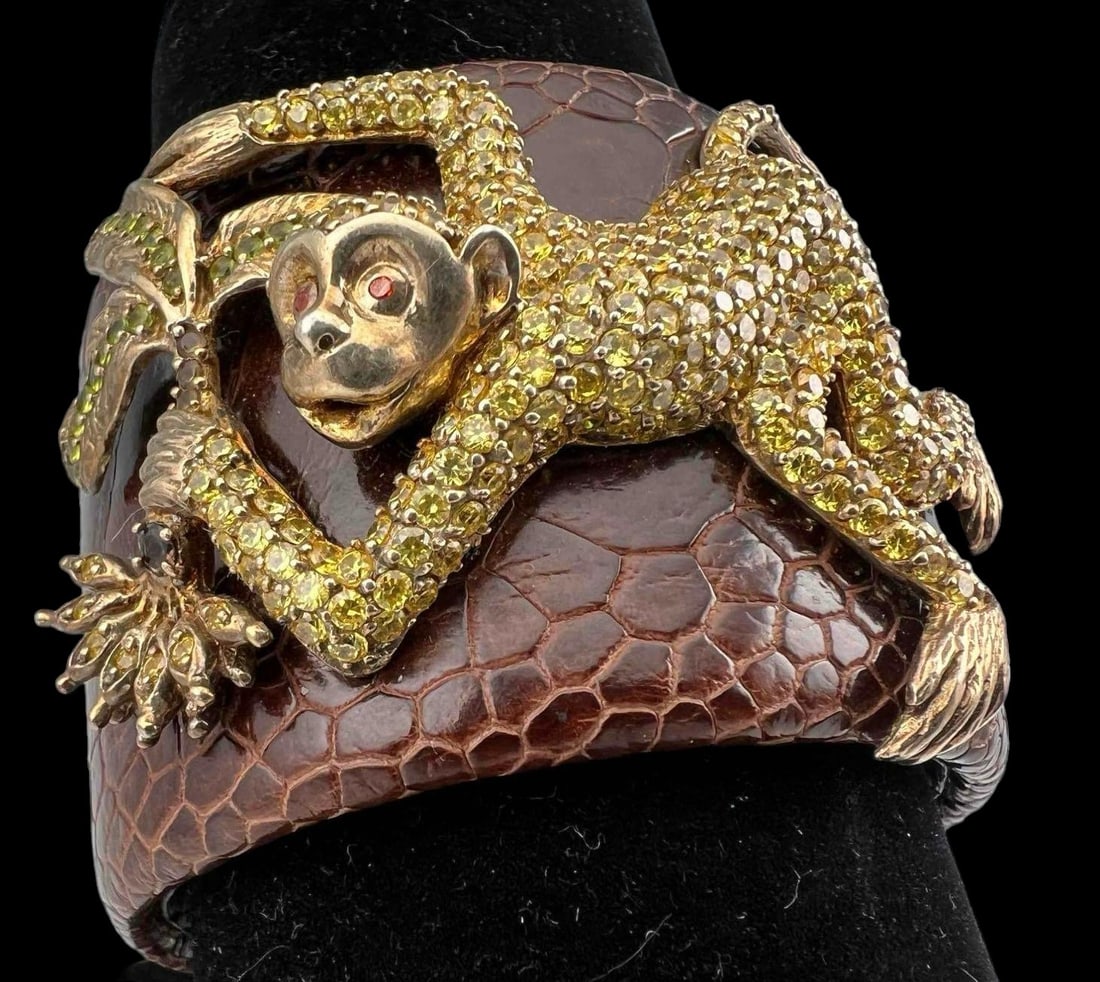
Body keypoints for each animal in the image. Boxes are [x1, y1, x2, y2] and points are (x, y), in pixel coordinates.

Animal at [138, 69, 1006, 764]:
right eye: (299, 295)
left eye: (385, 289)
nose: (316, 336)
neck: (517, 299)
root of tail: (773, 182)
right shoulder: (501, 203)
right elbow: (457, 98)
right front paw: (214, 140)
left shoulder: (517, 387)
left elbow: (365, 612)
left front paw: (186, 447)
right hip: (716, 215)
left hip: (839, 277)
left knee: (867, 444)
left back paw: (963, 482)